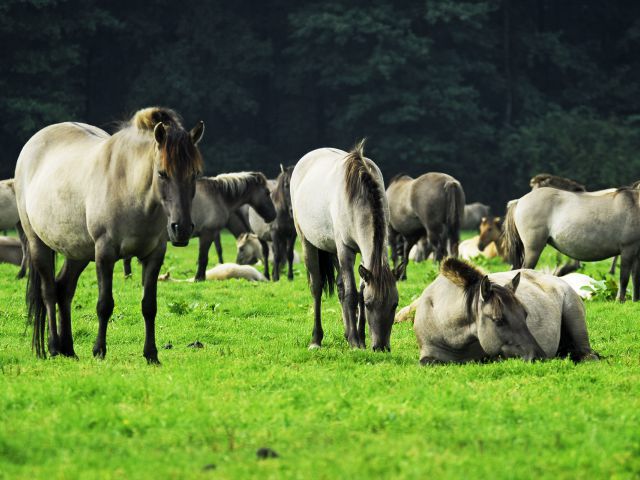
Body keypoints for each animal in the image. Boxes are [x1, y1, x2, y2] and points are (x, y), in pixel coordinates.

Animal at [15, 107, 204, 363]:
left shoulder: (154, 255)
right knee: (49, 292)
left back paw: (69, 349)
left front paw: (151, 354)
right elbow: (104, 304)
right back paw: (54, 347)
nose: (181, 229)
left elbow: (149, 306)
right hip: (38, 244)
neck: (130, 188)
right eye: (162, 173)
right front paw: (99, 351)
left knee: (65, 289)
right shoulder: (105, 253)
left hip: (78, 253)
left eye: (194, 174)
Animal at [291, 141, 404, 351]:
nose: (381, 347)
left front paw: (359, 337)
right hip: (307, 243)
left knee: (340, 287)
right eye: (369, 304)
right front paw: (355, 342)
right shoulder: (345, 250)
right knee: (317, 288)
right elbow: (352, 295)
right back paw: (316, 339)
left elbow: (357, 291)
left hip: (333, 249)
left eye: (395, 304)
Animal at [504, 186, 640, 302]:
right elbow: (624, 278)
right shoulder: (627, 250)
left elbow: (635, 277)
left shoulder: (636, 253)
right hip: (533, 249)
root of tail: (519, 201)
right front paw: (620, 300)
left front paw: (635, 300)